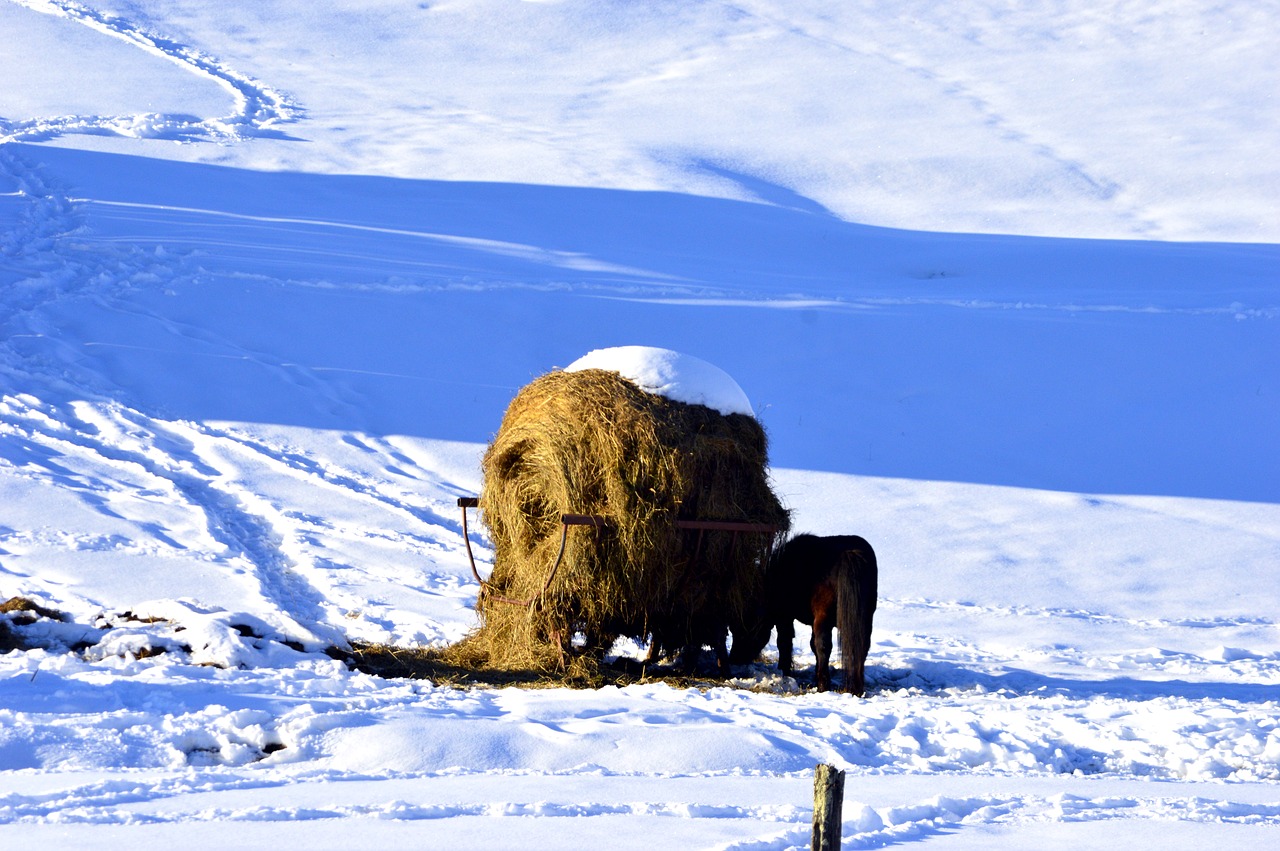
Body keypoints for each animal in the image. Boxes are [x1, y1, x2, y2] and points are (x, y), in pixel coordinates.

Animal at [732, 534, 880, 696]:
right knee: (862, 647)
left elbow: (785, 642)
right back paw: (856, 689)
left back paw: (823, 686)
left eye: (742, 631)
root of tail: (850, 555)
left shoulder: (785, 617)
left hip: (823, 619)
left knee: (824, 647)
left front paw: (785, 672)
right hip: (864, 619)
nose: (734, 658)